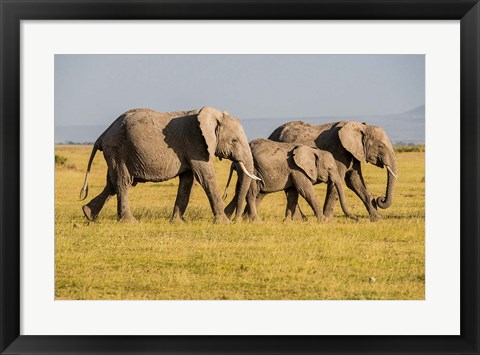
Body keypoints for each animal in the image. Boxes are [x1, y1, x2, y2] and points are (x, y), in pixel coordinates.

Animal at [79, 105, 260, 224]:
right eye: (234, 140)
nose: (236, 221)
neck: (213, 115)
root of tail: (103, 134)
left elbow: (187, 181)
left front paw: (178, 223)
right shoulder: (195, 143)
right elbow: (206, 177)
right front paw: (224, 223)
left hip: (115, 153)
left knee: (112, 183)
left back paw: (88, 214)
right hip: (118, 149)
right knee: (123, 182)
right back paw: (130, 222)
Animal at [222, 139, 356, 222]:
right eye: (330, 169)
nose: (356, 218)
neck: (313, 150)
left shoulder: (293, 171)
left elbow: (293, 194)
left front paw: (287, 222)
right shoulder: (297, 169)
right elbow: (305, 191)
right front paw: (323, 221)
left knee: (246, 192)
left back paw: (240, 218)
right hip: (253, 170)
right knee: (252, 193)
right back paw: (254, 221)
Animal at [266, 121, 398, 221]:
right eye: (380, 146)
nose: (380, 199)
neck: (360, 126)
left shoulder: (354, 153)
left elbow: (355, 182)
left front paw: (378, 218)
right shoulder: (338, 152)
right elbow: (337, 183)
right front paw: (328, 219)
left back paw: (301, 219)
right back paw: (301, 219)